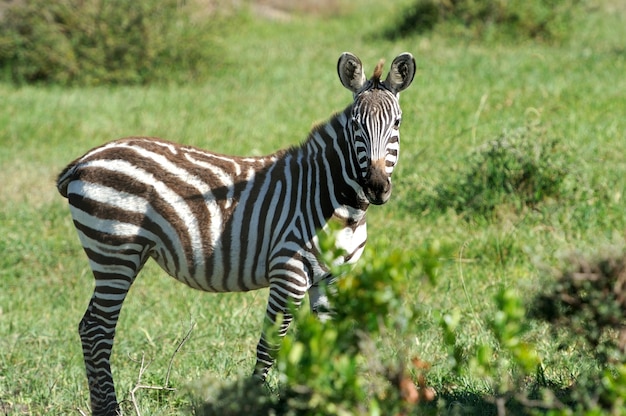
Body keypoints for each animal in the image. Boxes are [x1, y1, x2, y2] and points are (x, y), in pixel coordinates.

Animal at [57, 52, 414, 416]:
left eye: (397, 123)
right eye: (355, 125)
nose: (376, 187)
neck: (336, 203)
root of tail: (85, 160)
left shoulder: (333, 279)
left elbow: (328, 344)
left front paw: (325, 400)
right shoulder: (288, 272)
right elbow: (269, 345)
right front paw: (254, 401)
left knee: (90, 326)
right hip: (115, 253)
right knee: (96, 329)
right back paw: (108, 409)